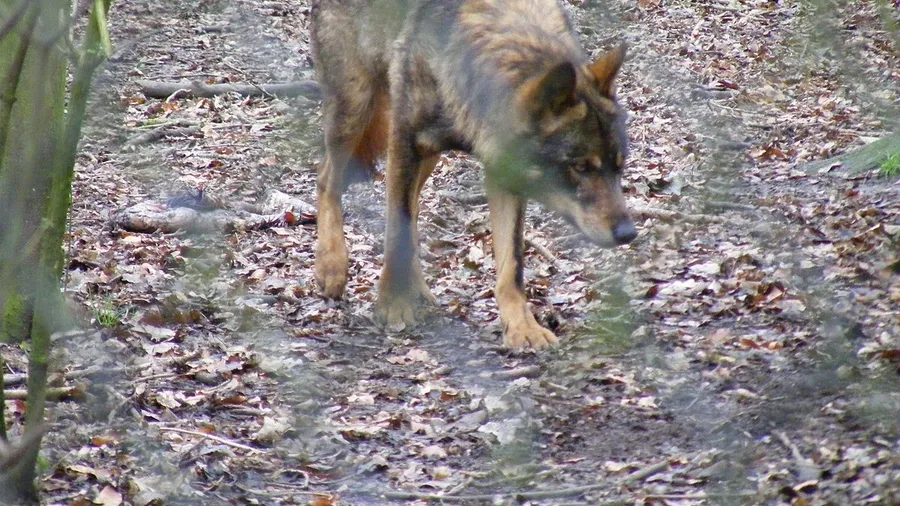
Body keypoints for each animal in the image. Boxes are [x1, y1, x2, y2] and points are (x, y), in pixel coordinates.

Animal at [310, 0, 636, 349]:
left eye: (619, 166)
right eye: (580, 167)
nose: (628, 233)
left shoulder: (503, 171)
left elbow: (512, 265)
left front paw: (522, 327)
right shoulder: (404, 140)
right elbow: (396, 229)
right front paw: (393, 305)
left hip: (426, 153)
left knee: (411, 207)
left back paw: (418, 290)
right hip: (355, 111)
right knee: (326, 178)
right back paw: (331, 267)